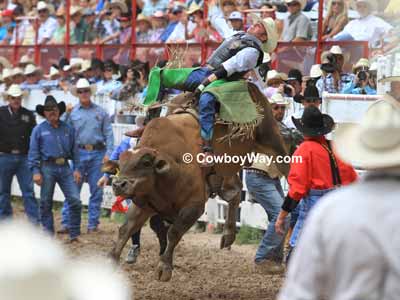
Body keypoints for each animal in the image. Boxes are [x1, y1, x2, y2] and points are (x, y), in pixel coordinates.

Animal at [108, 83, 288, 282]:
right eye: (121, 164)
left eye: (145, 163)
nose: (118, 185)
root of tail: (251, 86)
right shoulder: (143, 203)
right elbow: (126, 229)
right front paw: (111, 261)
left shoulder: (194, 207)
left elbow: (173, 232)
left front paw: (164, 267)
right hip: (225, 169)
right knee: (234, 194)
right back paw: (228, 234)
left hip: (271, 137)